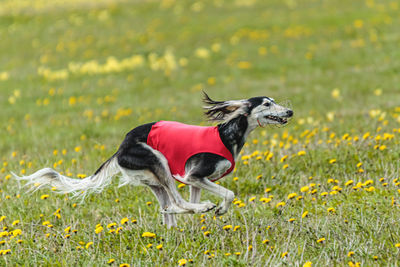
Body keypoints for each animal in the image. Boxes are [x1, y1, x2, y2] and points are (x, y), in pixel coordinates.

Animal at [14, 92, 294, 228]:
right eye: (267, 103)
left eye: (275, 101)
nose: (290, 111)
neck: (228, 135)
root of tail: (121, 147)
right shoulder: (194, 175)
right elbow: (228, 193)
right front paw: (219, 208)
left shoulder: (195, 181)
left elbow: (198, 198)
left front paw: (209, 211)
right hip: (158, 161)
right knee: (176, 201)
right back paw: (197, 209)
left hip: (156, 181)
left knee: (168, 207)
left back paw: (174, 220)